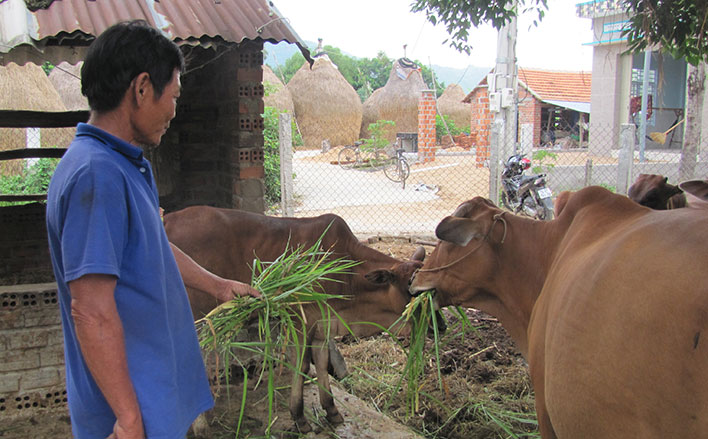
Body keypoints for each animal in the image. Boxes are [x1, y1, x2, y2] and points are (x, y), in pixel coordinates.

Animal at [163, 208, 424, 434]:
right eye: (411, 289)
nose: (434, 326)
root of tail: (167, 220)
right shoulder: (299, 320)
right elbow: (302, 366)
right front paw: (299, 417)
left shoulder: (322, 326)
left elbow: (322, 363)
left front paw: (331, 410)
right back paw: (199, 424)